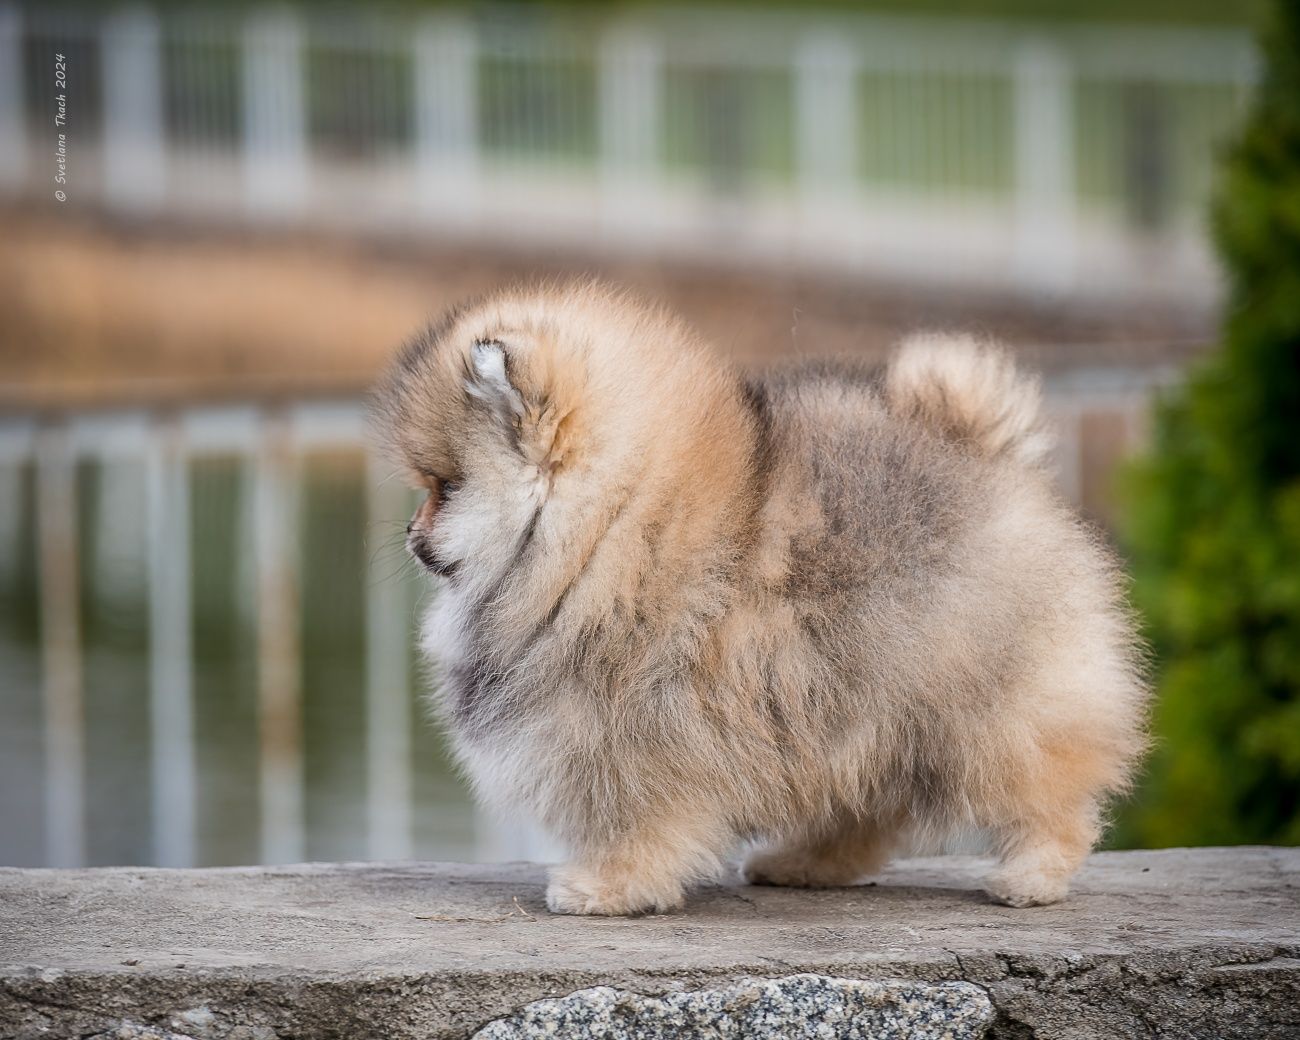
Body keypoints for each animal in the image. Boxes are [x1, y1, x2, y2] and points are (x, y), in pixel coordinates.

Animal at [374, 280, 1149, 915]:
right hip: (864, 709)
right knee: (867, 811)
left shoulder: (638, 727)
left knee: (1047, 788)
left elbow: (638, 818)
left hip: (983, 707)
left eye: (445, 487)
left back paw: (1032, 876)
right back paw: (806, 862)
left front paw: (608, 887)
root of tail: (985, 451)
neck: (607, 529)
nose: (409, 533)